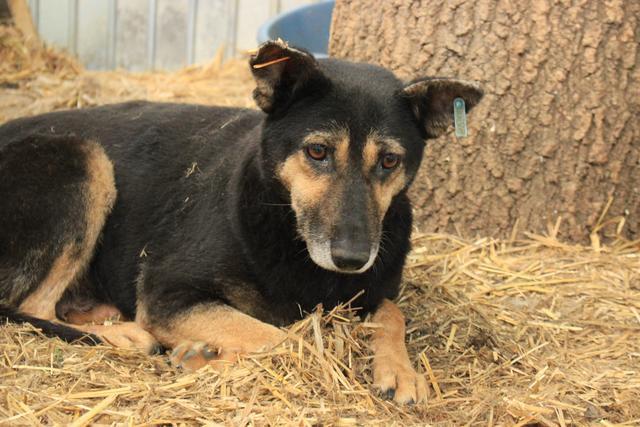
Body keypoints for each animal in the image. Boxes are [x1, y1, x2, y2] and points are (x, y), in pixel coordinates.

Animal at [0, 40, 480, 404]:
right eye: (318, 152)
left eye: (389, 161)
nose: (351, 259)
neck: (285, 223)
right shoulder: (166, 293)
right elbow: (284, 338)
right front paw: (203, 355)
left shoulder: (370, 289)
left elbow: (392, 311)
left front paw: (400, 370)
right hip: (83, 157)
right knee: (29, 307)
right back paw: (122, 337)